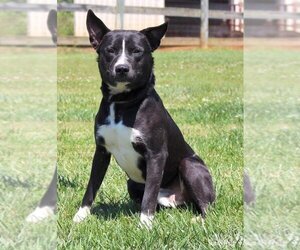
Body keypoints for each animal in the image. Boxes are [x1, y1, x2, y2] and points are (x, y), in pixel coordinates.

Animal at [74, 9, 216, 229]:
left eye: (137, 51)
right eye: (110, 50)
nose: (122, 68)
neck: (122, 102)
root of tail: (175, 198)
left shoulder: (155, 154)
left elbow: (149, 194)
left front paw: (145, 225)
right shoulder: (101, 151)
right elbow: (91, 186)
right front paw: (80, 217)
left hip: (190, 166)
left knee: (205, 205)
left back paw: (199, 219)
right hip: (132, 183)